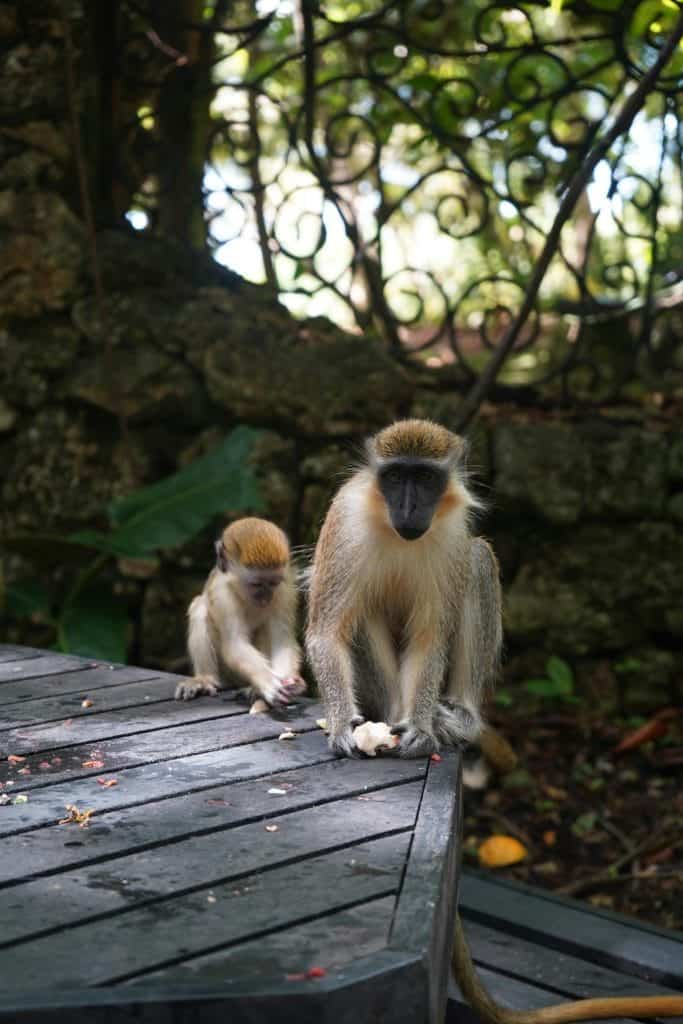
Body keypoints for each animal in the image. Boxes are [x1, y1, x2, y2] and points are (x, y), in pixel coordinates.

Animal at [174, 517, 306, 707]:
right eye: (256, 584)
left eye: (273, 582)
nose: (266, 598)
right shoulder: (223, 595)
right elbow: (235, 644)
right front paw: (267, 681)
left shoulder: (285, 589)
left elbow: (282, 641)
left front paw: (291, 682)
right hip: (228, 673)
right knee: (199, 608)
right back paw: (205, 678)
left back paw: (253, 689)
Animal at [305, 419, 502, 758]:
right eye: (395, 476)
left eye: (425, 477)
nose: (408, 508)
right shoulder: (346, 522)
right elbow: (326, 633)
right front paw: (342, 724)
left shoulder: (452, 534)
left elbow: (429, 639)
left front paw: (420, 727)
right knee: (363, 605)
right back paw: (397, 712)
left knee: (478, 559)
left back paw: (460, 717)